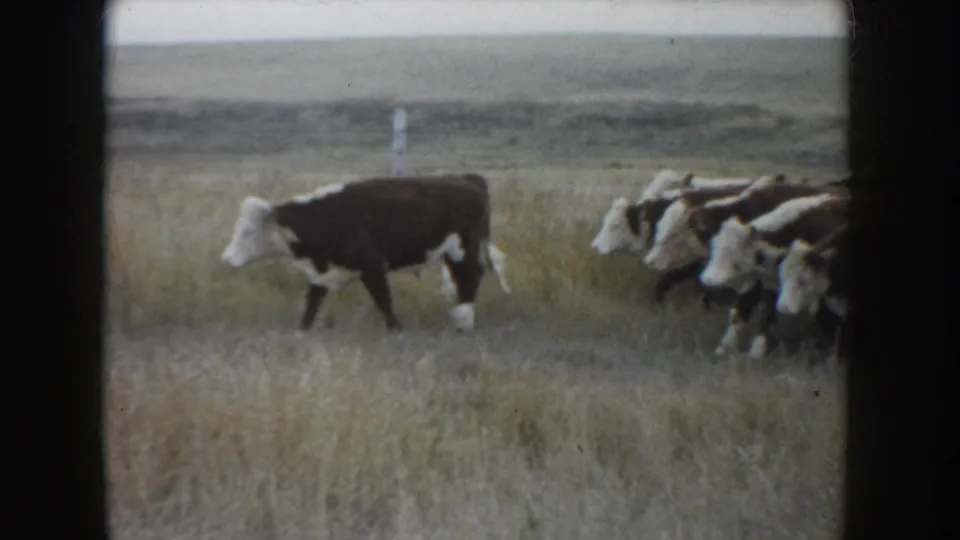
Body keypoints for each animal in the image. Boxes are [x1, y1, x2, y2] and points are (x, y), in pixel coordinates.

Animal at [220, 173, 511, 333]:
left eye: (248, 231)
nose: (227, 259)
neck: (326, 217)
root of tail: (468, 179)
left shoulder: (372, 267)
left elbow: (383, 300)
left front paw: (396, 329)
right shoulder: (322, 273)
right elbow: (311, 305)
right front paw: (301, 332)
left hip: (462, 251)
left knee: (471, 277)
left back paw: (464, 320)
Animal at [697, 193, 849, 357]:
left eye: (733, 252)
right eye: (713, 246)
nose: (707, 278)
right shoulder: (765, 283)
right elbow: (743, 311)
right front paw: (726, 347)